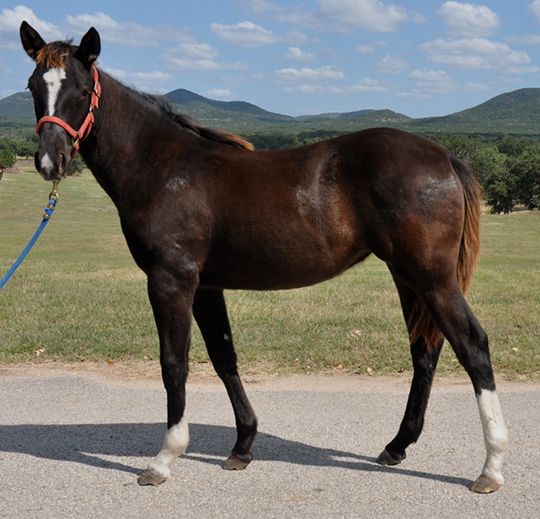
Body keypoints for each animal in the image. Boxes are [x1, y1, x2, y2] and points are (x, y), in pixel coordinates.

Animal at [17, 22, 506, 496]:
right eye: (32, 86)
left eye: (82, 90)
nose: (49, 161)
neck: (164, 167)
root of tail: (444, 156)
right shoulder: (206, 285)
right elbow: (223, 356)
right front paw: (243, 445)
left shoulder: (171, 280)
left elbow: (174, 362)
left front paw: (164, 459)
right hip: (407, 276)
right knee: (426, 350)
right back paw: (398, 445)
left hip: (431, 277)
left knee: (473, 345)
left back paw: (492, 467)